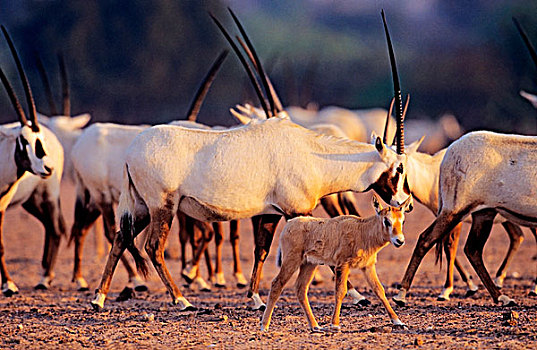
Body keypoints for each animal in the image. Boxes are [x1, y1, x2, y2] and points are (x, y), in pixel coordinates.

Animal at [260, 194, 410, 334]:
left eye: (402, 220)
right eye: (386, 220)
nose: (400, 241)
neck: (363, 231)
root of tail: (289, 224)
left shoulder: (368, 267)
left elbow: (379, 290)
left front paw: (398, 322)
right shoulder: (342, 265)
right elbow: (341, 291)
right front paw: (335, 324)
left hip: (309, 264)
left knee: (301, 288)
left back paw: (315, 326)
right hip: (292, 260)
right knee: (277, 284)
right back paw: (264, 326)